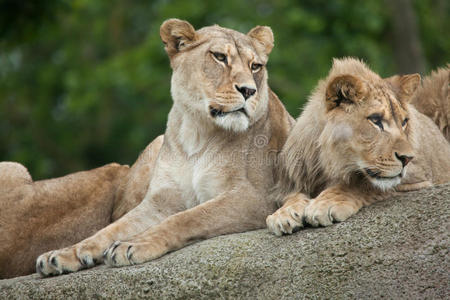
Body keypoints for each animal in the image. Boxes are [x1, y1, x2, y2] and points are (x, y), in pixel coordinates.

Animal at [34, 19, 292, 276]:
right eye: (219, 57)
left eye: (255, 66)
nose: (249, 90)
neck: (197, 133)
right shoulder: (159, 202)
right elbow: (109, 230)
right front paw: (64, 254)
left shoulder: (256, 196)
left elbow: (187, 218)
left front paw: (132, 244)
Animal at [268, 56, 450, 234]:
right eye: (376, 120)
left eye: (404, 122)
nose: (407, 158)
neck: (329, 164)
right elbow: (292, 196)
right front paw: (284, 213)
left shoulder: (419, 179)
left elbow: (361, 185)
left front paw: (327, 203)